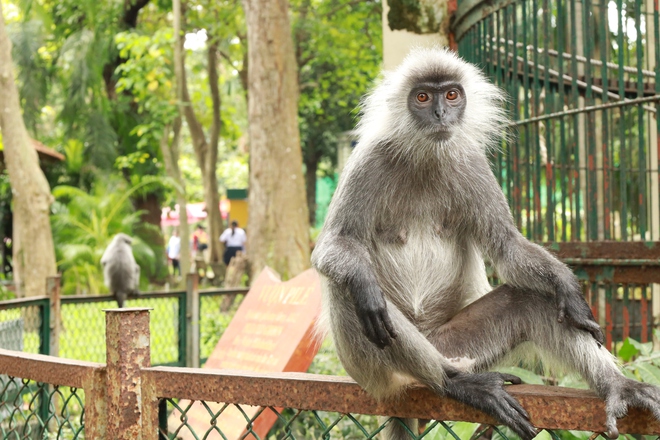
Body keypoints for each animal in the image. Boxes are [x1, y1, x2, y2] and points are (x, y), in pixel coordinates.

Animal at [310, 46, 660, 438]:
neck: (425, 157)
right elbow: (331, 249)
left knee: (531, 299)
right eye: (422, 97)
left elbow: (509, 250)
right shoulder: (367, 160)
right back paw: (455, 382)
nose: (440, 114)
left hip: (457, 345)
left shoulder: (473, 163)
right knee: (351, 287)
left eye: (451, 95)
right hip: (373, 369)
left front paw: (569, 288)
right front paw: (367, 289)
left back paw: (618, 386)